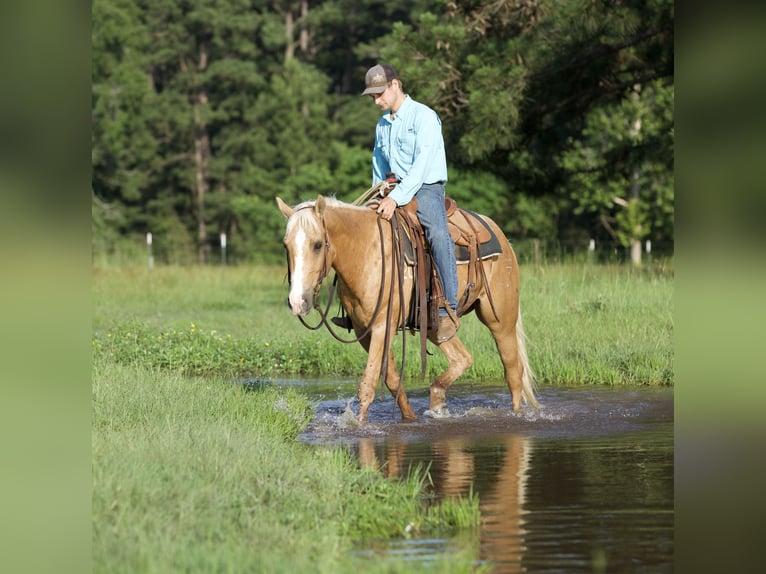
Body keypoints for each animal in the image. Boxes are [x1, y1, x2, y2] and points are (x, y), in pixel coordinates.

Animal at [278, 194, 540, 424]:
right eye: (285, 245)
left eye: (317, 245)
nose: (297, 302)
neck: (365, 251)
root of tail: (499, 234)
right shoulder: (365, 330)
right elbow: (392, 379)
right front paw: (410, 418)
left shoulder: (382, 325)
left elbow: (368, 384)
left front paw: (358, 426)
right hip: (435, 325)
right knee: (462, 358)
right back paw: (437, 401)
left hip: (501, 321)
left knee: (513, 372)